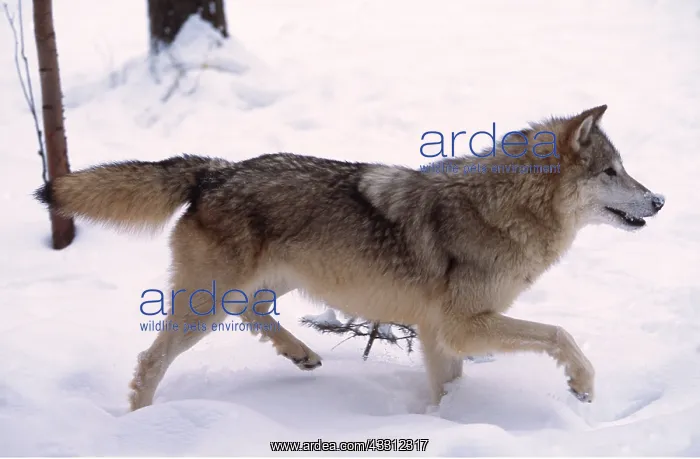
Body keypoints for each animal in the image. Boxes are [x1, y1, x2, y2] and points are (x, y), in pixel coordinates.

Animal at [35, 105, 665, 411]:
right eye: (612, 172)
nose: (660, 200)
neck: (502, 208)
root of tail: (216, 170)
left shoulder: (439, 336)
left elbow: (448, 387)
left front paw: (449, 425)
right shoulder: (463, 327)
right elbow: (562, 334)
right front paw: (581, 387)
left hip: (272, 283)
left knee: (255, 313)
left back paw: (303, 355)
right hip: (206, 303)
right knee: (150, 360)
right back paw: (142, 422)